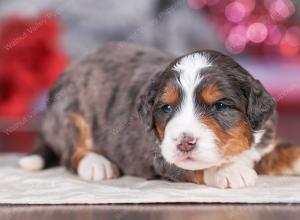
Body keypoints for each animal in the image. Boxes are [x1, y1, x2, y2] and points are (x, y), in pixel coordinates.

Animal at [18, 42, 300, 188]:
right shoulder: (159, 156)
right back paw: (97, 165)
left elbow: (274, 151)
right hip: (71, 115)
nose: (185, 142)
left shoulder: (264, 137)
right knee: (70, 152)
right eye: (167, 108)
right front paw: (229, 172)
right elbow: (196, 168)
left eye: (219, 106)